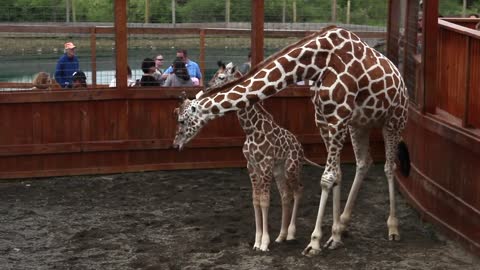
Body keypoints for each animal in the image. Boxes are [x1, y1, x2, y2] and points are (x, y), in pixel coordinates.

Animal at [201, 61, 324, 251]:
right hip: (279, 170)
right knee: (286, 195)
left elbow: (265, 200)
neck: (251, 130)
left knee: (298, 190)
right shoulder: (251, 165)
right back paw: (280, 236)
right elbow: (256, 200)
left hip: (291, 167)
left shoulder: (265, 163)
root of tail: (300, 148)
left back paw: (290, 233)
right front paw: (257, 241)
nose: (207, 88)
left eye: (221, 77)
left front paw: (264, 242)